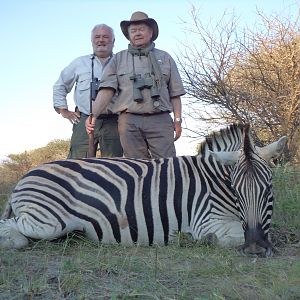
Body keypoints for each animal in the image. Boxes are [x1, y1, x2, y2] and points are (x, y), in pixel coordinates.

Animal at [0, 124, 288, 255]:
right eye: (236, 191)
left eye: (268, 190)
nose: (255, 249)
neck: (214, 180)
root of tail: (24, 177)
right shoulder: (205, 220)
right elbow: (231, 236)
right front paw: (201, 241)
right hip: (48, 221)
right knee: (13, 229)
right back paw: (12, 242)